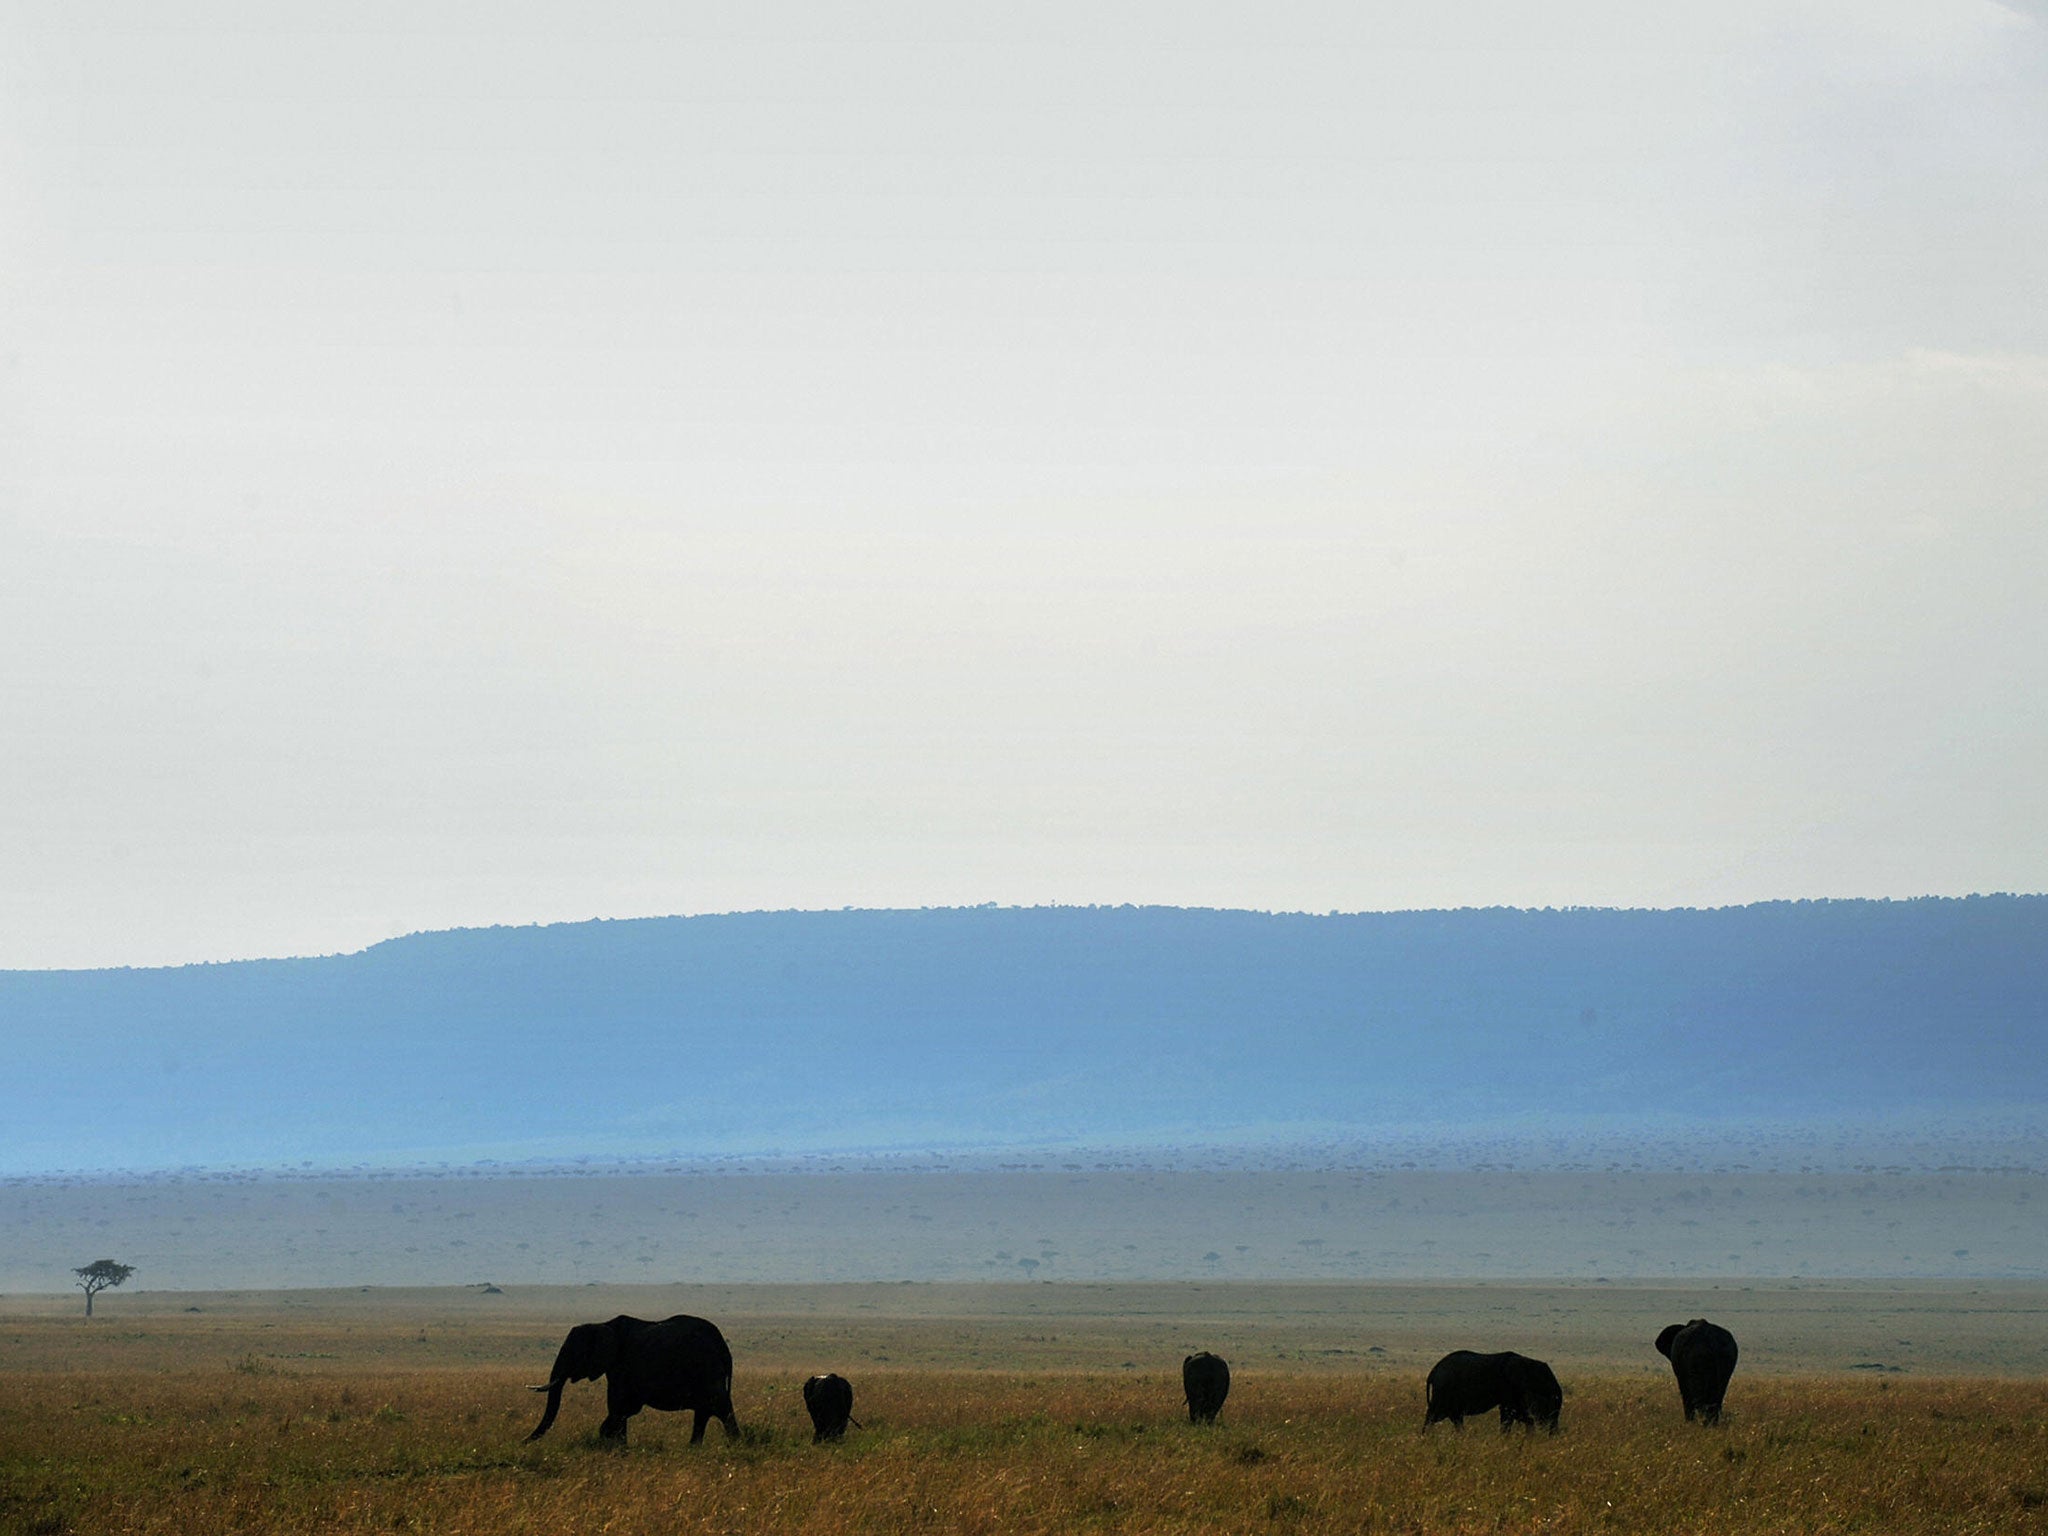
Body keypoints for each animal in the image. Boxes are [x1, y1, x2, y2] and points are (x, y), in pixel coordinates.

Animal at [524, 1318, 741, 1449]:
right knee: (703, 1413)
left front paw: (614, 1445)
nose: (521, 1442)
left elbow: (621, 1408)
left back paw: (735, 1446)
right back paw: (693, 1448)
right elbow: (622, 1411)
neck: (602, 1324)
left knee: (721, 1408)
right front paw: (619, 1447)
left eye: (572, 1353)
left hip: (707, 1371)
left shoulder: (623, 1367)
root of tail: (723, 1347)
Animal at [1425, 1351, 1564, 1441]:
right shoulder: (1511, 1388)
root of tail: (1433, 1372)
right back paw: (1426, 1438)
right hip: (1444, 1391)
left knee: (1454, 1417)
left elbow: (1523, 1416)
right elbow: (1509, 1414)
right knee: (1435, 1415)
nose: (1554, 1436)